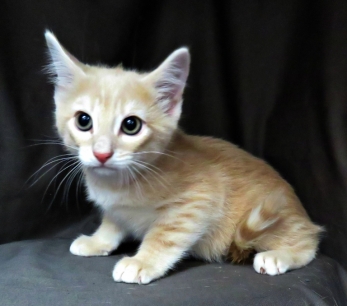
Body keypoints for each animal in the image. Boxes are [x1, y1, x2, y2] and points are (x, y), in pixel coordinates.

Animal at [44, 31, 324, 284]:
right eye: (83, 120)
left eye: (131, 125)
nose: (102, 153)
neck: (118, 183)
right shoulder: (115, 209)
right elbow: (112, 222)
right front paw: (98, 241)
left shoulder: (199, 198)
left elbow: (166, 234)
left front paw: (142, 262)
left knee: (309, 241)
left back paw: (280, 255)